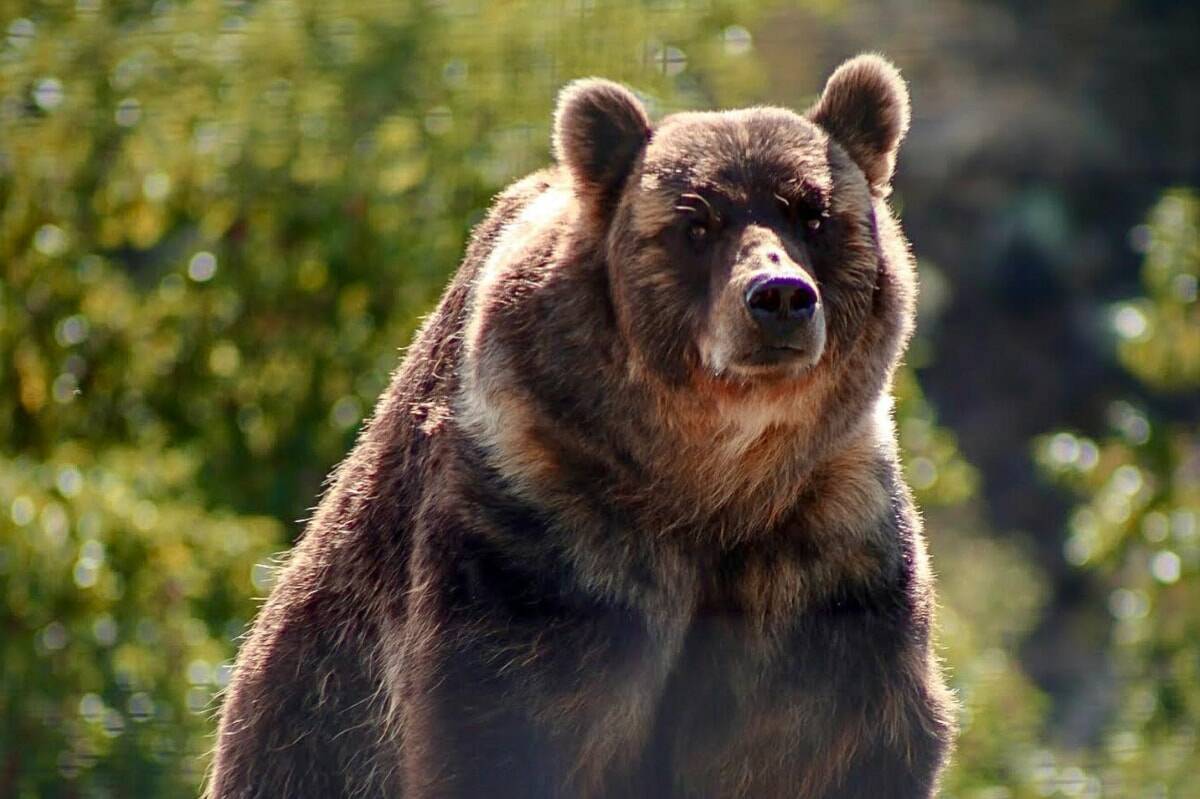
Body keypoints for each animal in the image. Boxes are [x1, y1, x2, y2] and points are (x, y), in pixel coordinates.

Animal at [208, 53, 956, 798]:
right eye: (696, 223)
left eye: (814, 212)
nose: (778, 296)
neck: (713, 481)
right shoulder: (544, 529)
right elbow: (499, 727)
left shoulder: (826, 552)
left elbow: (831, 741)